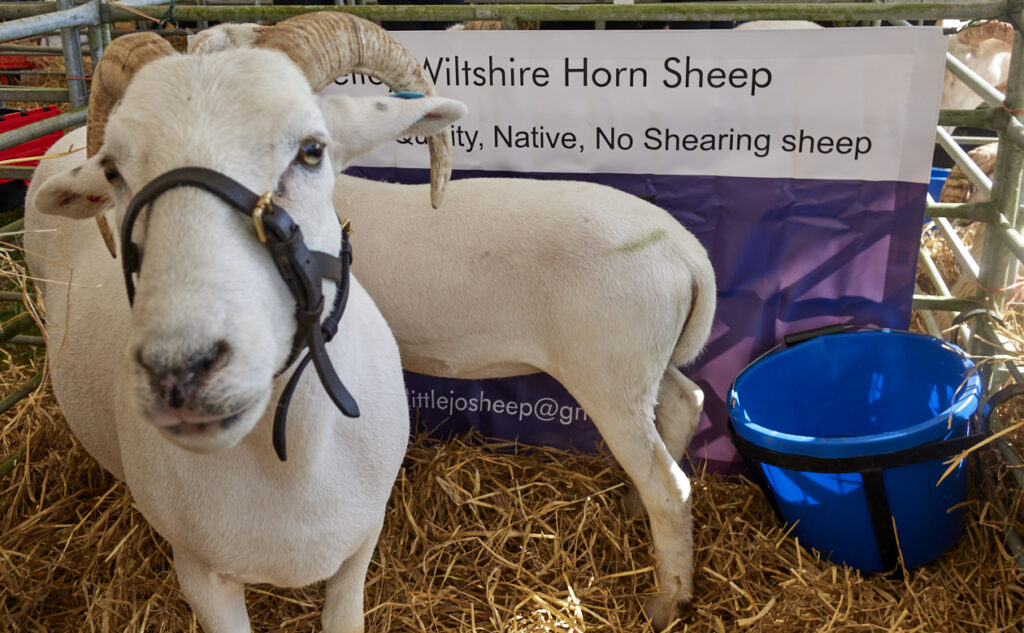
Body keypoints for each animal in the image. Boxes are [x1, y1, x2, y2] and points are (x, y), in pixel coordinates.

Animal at [23, 12, 468, 633]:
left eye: (312, 151)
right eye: (112, 171)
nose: (179, 371)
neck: (292, 466)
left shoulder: (363, 540)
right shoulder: (199, 573)